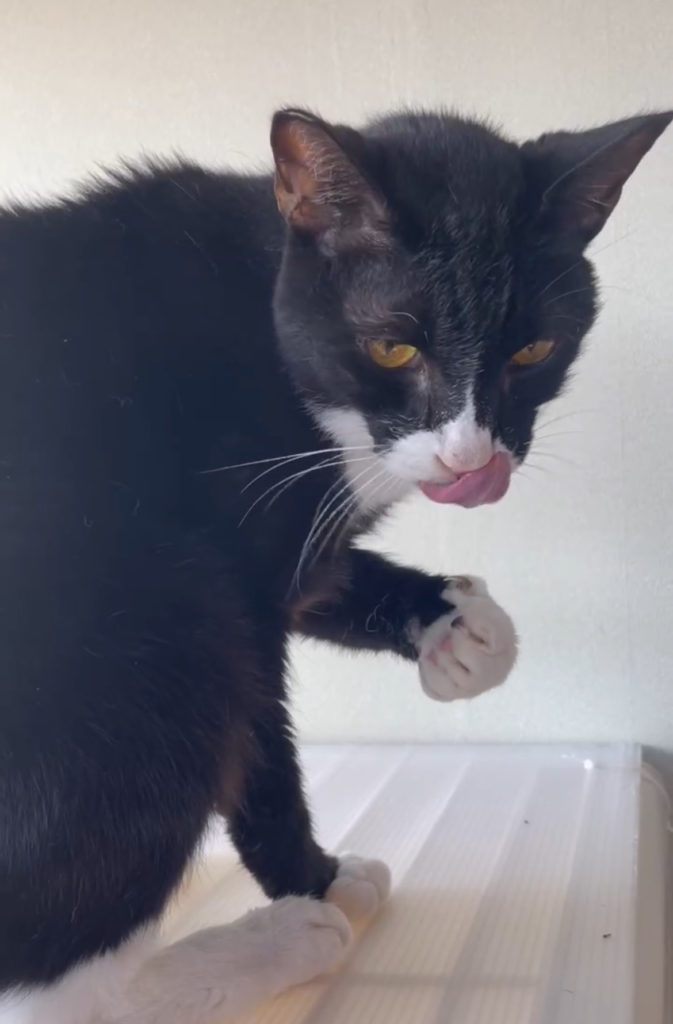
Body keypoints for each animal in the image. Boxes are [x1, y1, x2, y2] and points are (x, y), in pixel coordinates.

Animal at [0, 104, 669, 1024]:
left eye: (533, 350)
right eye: (391, 350)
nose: (469, 459)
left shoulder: (299, 535)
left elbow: (322, 580)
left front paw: (464, 632)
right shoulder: (238, 549)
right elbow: (261, 737)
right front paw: (315, 881)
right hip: (149, 624)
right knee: (66, 994)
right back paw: (275, 943)